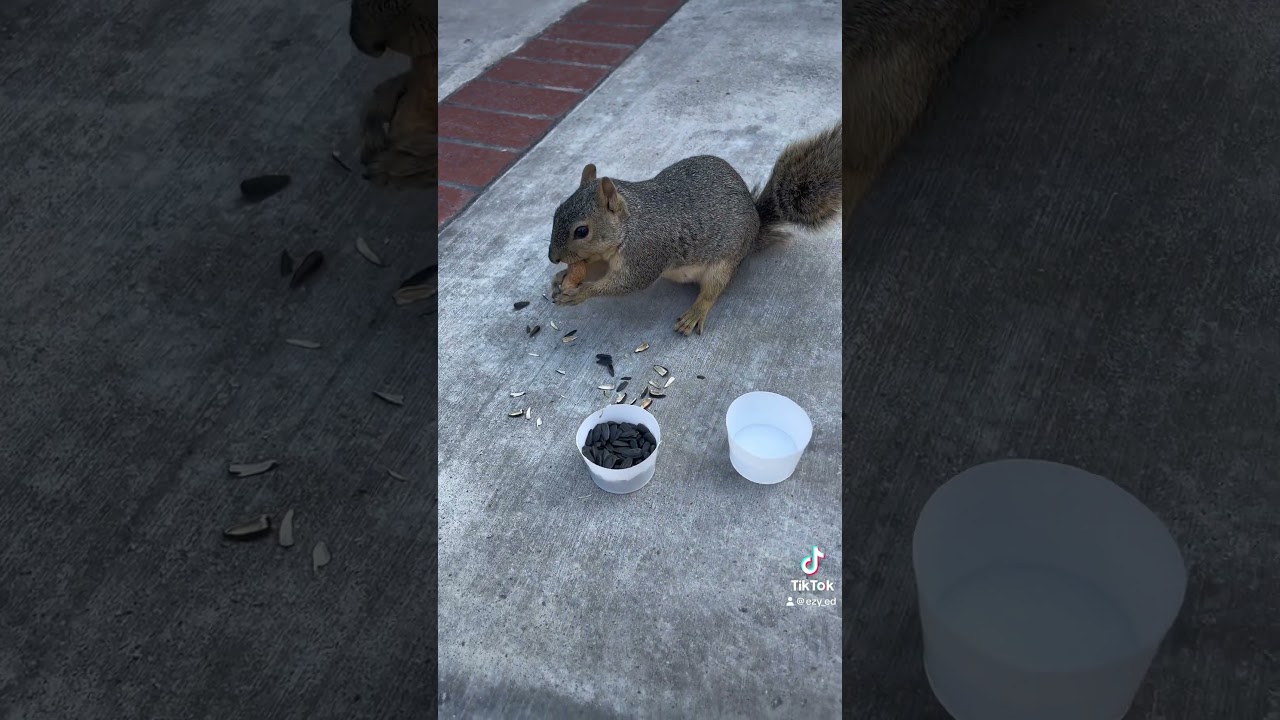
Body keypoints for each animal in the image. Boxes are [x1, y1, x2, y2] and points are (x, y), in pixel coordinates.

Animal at [547, 123, 841, 336]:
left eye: (581, 231)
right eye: (556, 212)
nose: (553, 258)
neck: (630, 224)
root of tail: (755, 228)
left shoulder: (647, 252)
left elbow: (629, 282)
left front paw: (581, 293)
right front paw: (562, 277)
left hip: (724, 263)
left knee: (713, 290)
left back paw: (696, 312)